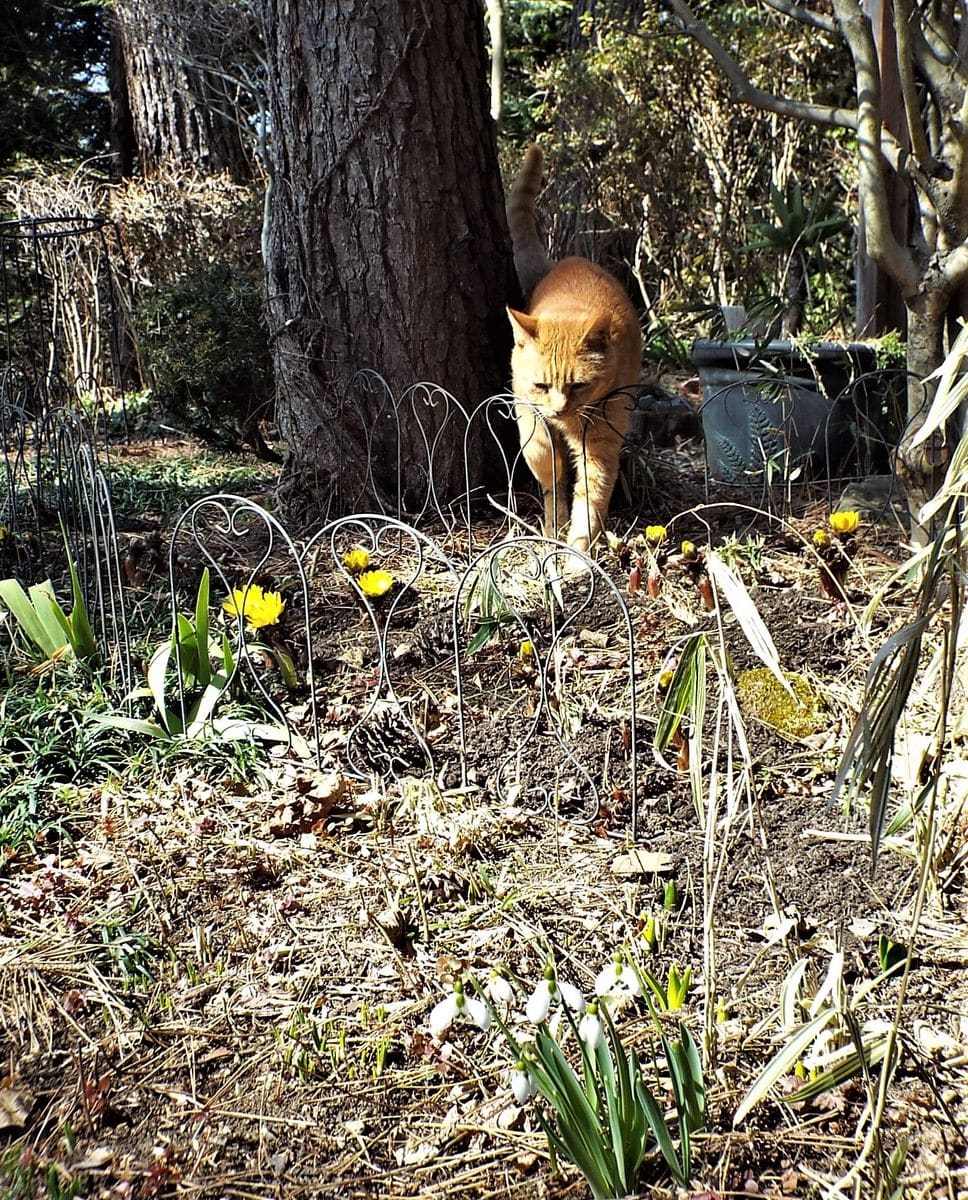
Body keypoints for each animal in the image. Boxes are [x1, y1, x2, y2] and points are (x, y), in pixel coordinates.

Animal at [506, 145, 642, 552]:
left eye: (579, 385)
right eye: (541, 385)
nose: (559, 409)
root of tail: (565, 261)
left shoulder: (601, 443)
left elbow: (591, 499)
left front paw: (575, 554)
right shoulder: (522, 399)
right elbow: (540, 452)